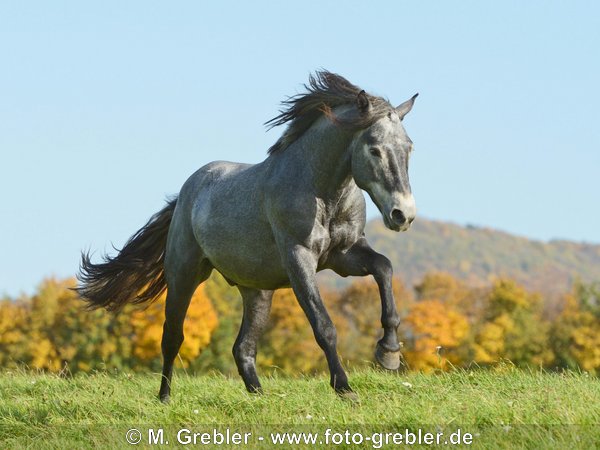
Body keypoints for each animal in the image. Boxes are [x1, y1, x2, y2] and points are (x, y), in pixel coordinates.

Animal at [76, 71, 418, 404]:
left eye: (409, 147)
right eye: (374, 149)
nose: (403, 214)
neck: (320, 191)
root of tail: (187, 192)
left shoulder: (344, 255)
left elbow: (384, 268)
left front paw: (389, 352)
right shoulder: (299, 258)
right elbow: (324, 325)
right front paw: (345, 389)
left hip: (257, 292)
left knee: (242, 347)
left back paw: (259, 397)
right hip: (184, 275)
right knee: (173, 337)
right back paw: (164, 398)